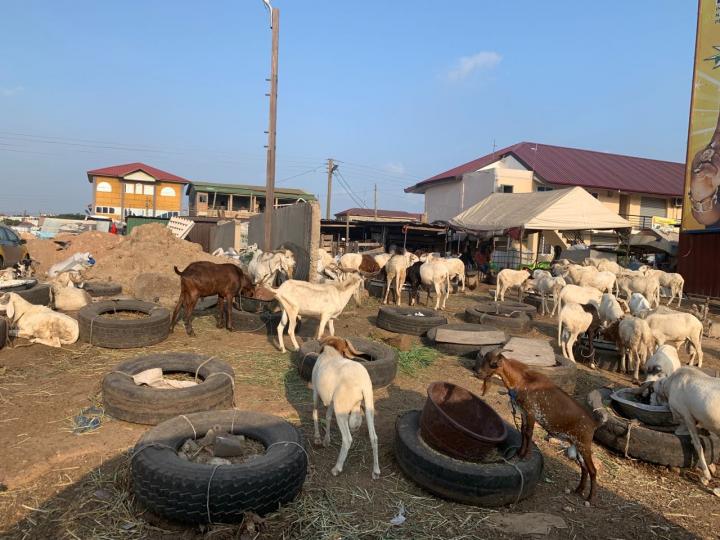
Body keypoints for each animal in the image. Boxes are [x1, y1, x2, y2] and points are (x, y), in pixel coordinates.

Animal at [311, 336, 380, 479]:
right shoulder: (331, 400)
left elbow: (315, 413)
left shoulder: (315, 391)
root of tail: (362, 382)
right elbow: (328, 416)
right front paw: (326, 440)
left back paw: (337, 468)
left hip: (341, 411)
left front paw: (318, 438)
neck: (331, 353)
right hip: (368, 407)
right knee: (374, 437)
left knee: (347, 439)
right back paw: (376, 471)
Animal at [475, 349, 599, 501]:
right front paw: (519, 452)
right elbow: (522, 431)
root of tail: (593, 424)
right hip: (576, 445)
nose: (478, 372)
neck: (522, 380)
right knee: (584, 468)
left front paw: (525, 455)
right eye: (484, 359)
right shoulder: (523, 411)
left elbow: (529, 433)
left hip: (584, 444)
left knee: (593, 470)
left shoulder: (531, 412)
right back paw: (578, 490)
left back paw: (590, 497)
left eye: (493, 363)